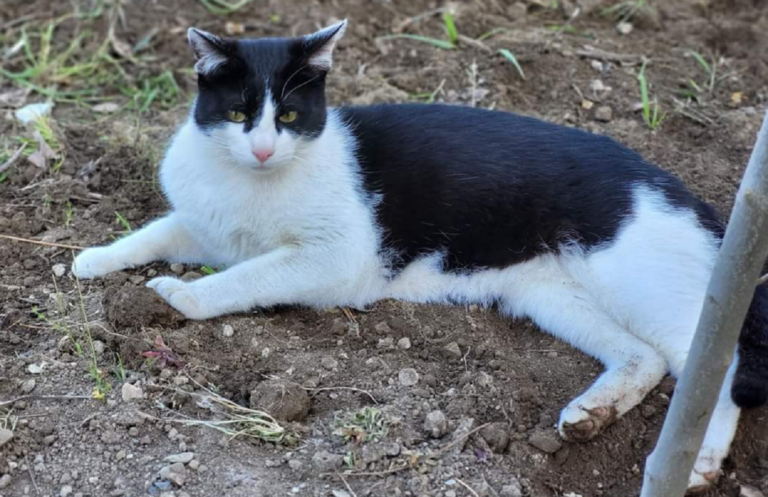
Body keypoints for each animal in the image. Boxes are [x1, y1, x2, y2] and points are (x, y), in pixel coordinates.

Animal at [73, 20, 768, 492]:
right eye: (241, 111)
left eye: (290, 116)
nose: (264, 149)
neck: (249, 185)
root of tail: (686, 191)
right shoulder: (206, 226)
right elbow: (160, 231)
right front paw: (95, 258)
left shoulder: (337, 259)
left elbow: (249, 274)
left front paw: (184, 296)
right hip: (550, 295)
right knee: (643, 357)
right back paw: (590, 416)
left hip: (645, 282)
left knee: (715, 366)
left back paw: (699, 459)